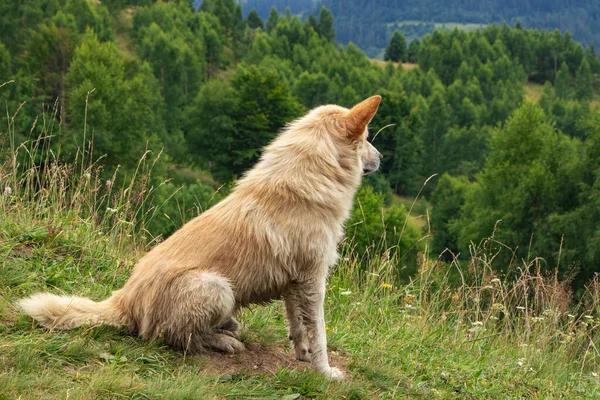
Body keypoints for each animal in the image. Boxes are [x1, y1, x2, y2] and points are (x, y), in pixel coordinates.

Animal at [21, 94, 384, 382]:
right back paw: (223, 340)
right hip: (216, 287)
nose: (381, 158)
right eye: (367, 137)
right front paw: (326, 372)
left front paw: (302, 355)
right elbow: (320, 333)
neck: (312, 176)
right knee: (178, 338)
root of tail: (123, 300)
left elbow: (298, 326)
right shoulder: (313, 281)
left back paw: (226, 327)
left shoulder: (295, 283)